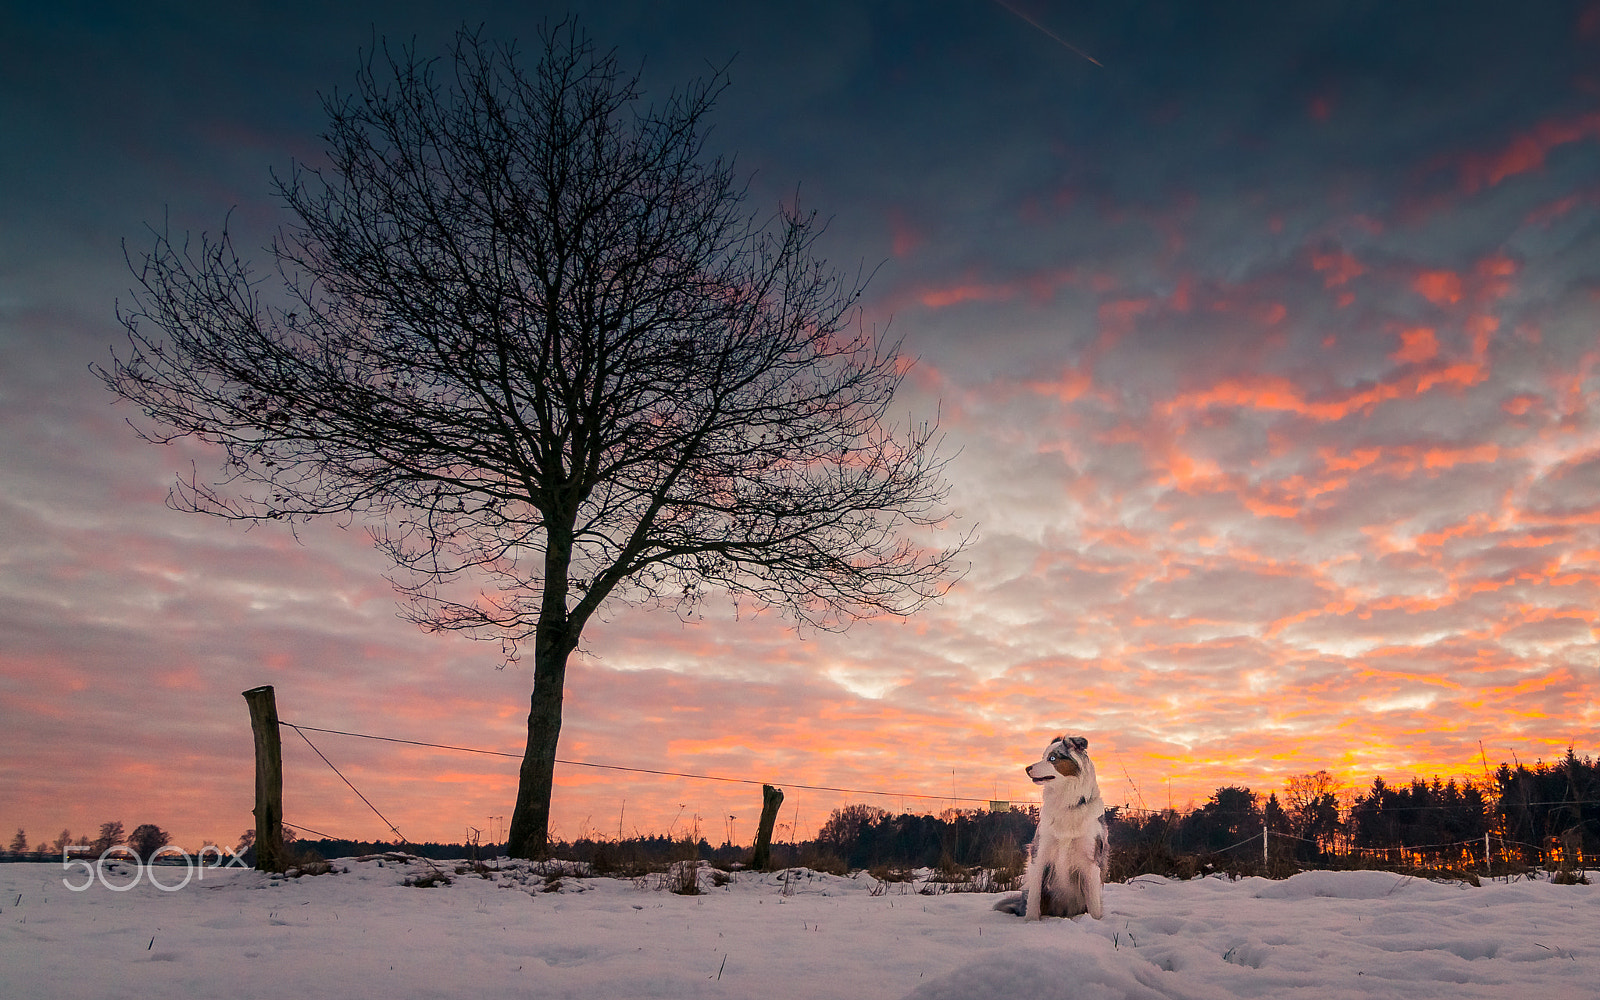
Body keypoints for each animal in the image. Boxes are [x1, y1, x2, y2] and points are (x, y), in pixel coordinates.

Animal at [992, 732, 1107, 921]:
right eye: (1043, 756)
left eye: (1052, 758)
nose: (1027, 768)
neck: (1066, 802)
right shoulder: (1040, 851)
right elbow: (1034, 896)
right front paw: (1031, 921)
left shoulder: (1091, 860)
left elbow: (1095, 906)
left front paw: (1095, 921)